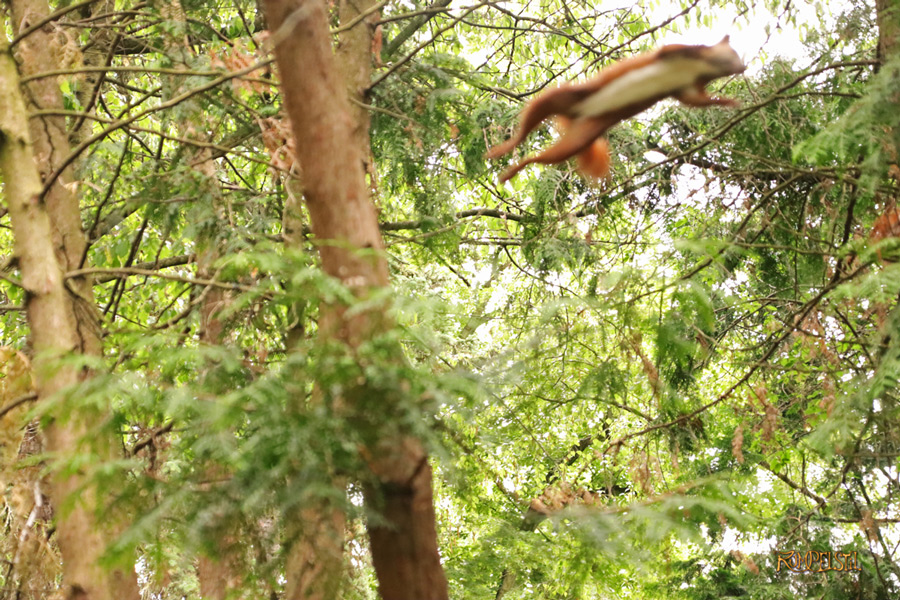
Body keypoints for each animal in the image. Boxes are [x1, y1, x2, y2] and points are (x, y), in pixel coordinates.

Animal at [486, 36, 746, 182]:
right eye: (733, 53)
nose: (743, 66)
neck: (702, 68)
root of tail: (576, 115)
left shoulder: (688, 87)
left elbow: (697, 101)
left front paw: (728, 102)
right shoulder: (677, 54)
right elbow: (670, 49)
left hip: (583, 134)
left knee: (548, 156)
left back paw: (513, 169)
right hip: (565, 97)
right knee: (530, 122)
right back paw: (504, 149)